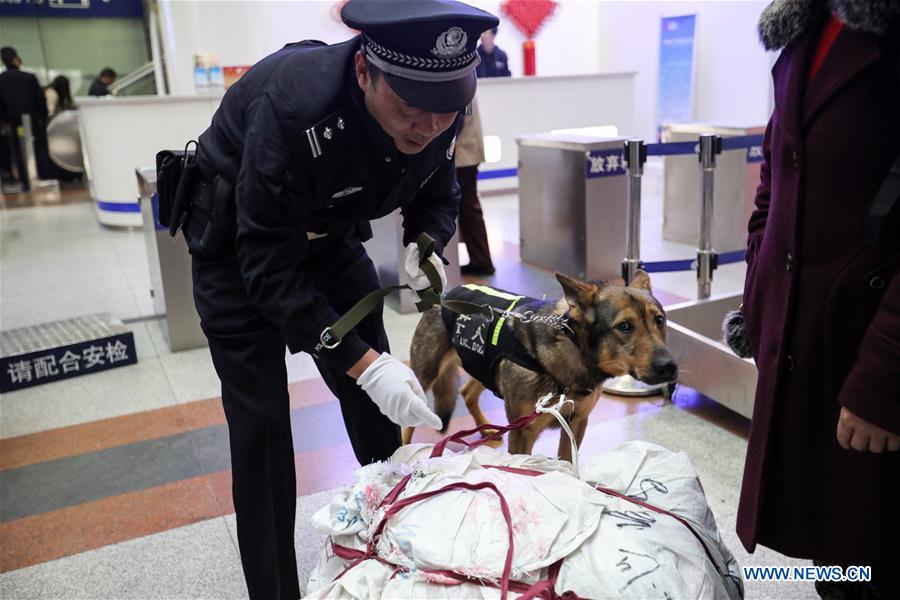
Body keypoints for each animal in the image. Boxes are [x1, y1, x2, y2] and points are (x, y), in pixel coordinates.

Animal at [406, 270, 676, 462]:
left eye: (659, 320)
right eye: (625, 326)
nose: (669, 366)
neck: (572, 348)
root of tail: (444, 293)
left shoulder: (576, 424)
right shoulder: (523, 434)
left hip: (483, 367)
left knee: (467, 392)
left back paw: (486, 431)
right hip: (424, 377)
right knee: (406, 423)